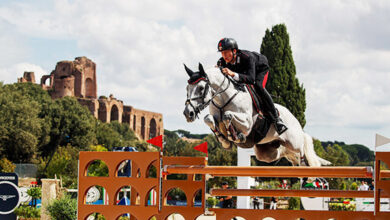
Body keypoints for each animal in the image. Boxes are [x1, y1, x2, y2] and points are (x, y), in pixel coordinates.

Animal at [183, 63, 330, 167]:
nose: (188, 113)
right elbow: (208, 119)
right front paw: (223, 139)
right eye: (187, 88)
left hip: (294, 142)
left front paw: (234, 136)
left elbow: (228, 116)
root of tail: (294, 119)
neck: (224, 99)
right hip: (267, 152)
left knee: (302, 150)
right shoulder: (214, 116)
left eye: (201, 88)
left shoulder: (247, 123)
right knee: (285, 154)